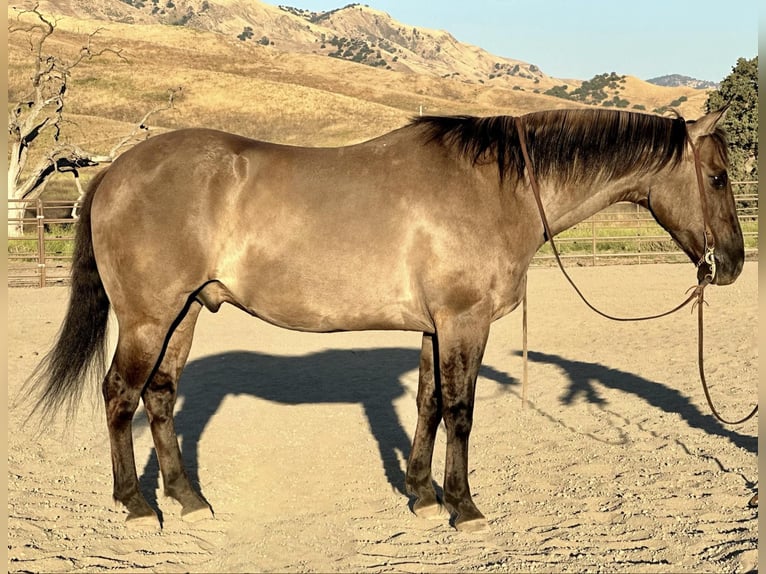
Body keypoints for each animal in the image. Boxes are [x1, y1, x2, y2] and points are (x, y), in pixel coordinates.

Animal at [26, 107, 744, 533]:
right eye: (716, 177)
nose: (733, 263)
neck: (496, 189)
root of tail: (118, 172)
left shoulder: (435, 327)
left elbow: (428, 404)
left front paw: (422, 494)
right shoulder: (464, 323)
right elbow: (461, 411)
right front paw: (463, 506)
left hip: (186, 313)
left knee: (161, 396)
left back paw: (189, 498)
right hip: (148, 317)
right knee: (119, 396)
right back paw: (137, 505)